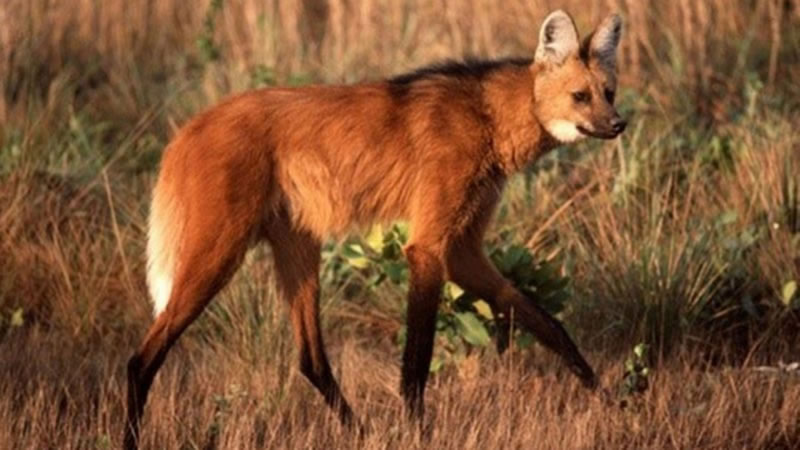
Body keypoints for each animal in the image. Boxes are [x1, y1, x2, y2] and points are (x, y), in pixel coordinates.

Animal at [124, 9, 626, 449]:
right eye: (580, 96)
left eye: (609, 92)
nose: (619, 124)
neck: (489, 117)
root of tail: (188, 128)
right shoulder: (427, 248)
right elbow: (417, 361)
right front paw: (419, 434)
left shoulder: (462, 250)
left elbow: (548, 324)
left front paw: (607, 399)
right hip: (218, 253)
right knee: (141, 358)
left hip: (298, 247)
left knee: (311, 360)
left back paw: (360, 433)